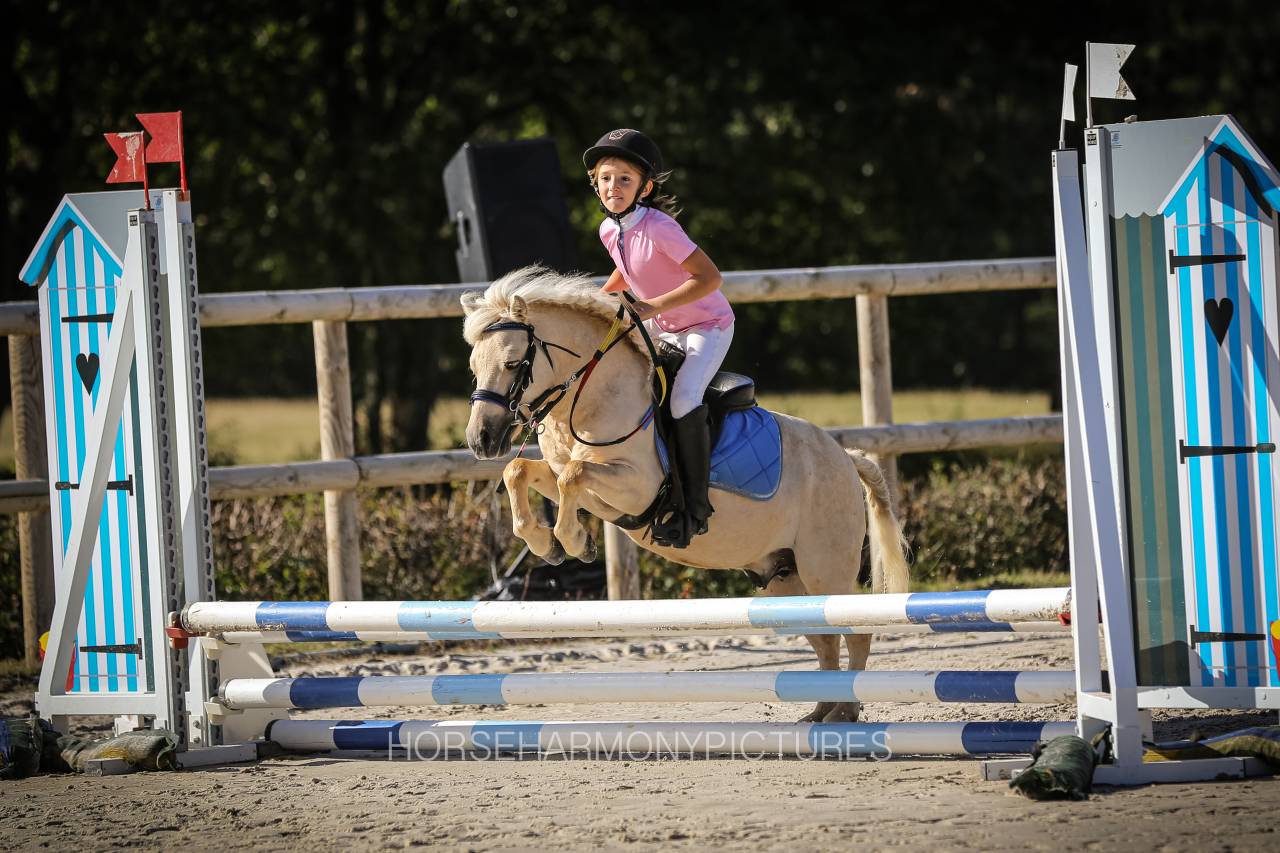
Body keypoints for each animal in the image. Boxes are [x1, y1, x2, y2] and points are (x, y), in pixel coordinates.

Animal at [462, 266, 910, 723]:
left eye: (513, 363)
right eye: (474, 367)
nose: (481, 441)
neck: (593, 397)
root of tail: (845, 457)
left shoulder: (635, 487)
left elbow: (573, 475)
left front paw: (572, 541)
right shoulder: (577, 482)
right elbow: (522, 471)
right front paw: (550, 545)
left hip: (825, 569)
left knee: (854, 632)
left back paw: (845, 712)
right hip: (784, 578)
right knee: (825, 637)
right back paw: (821, 711)